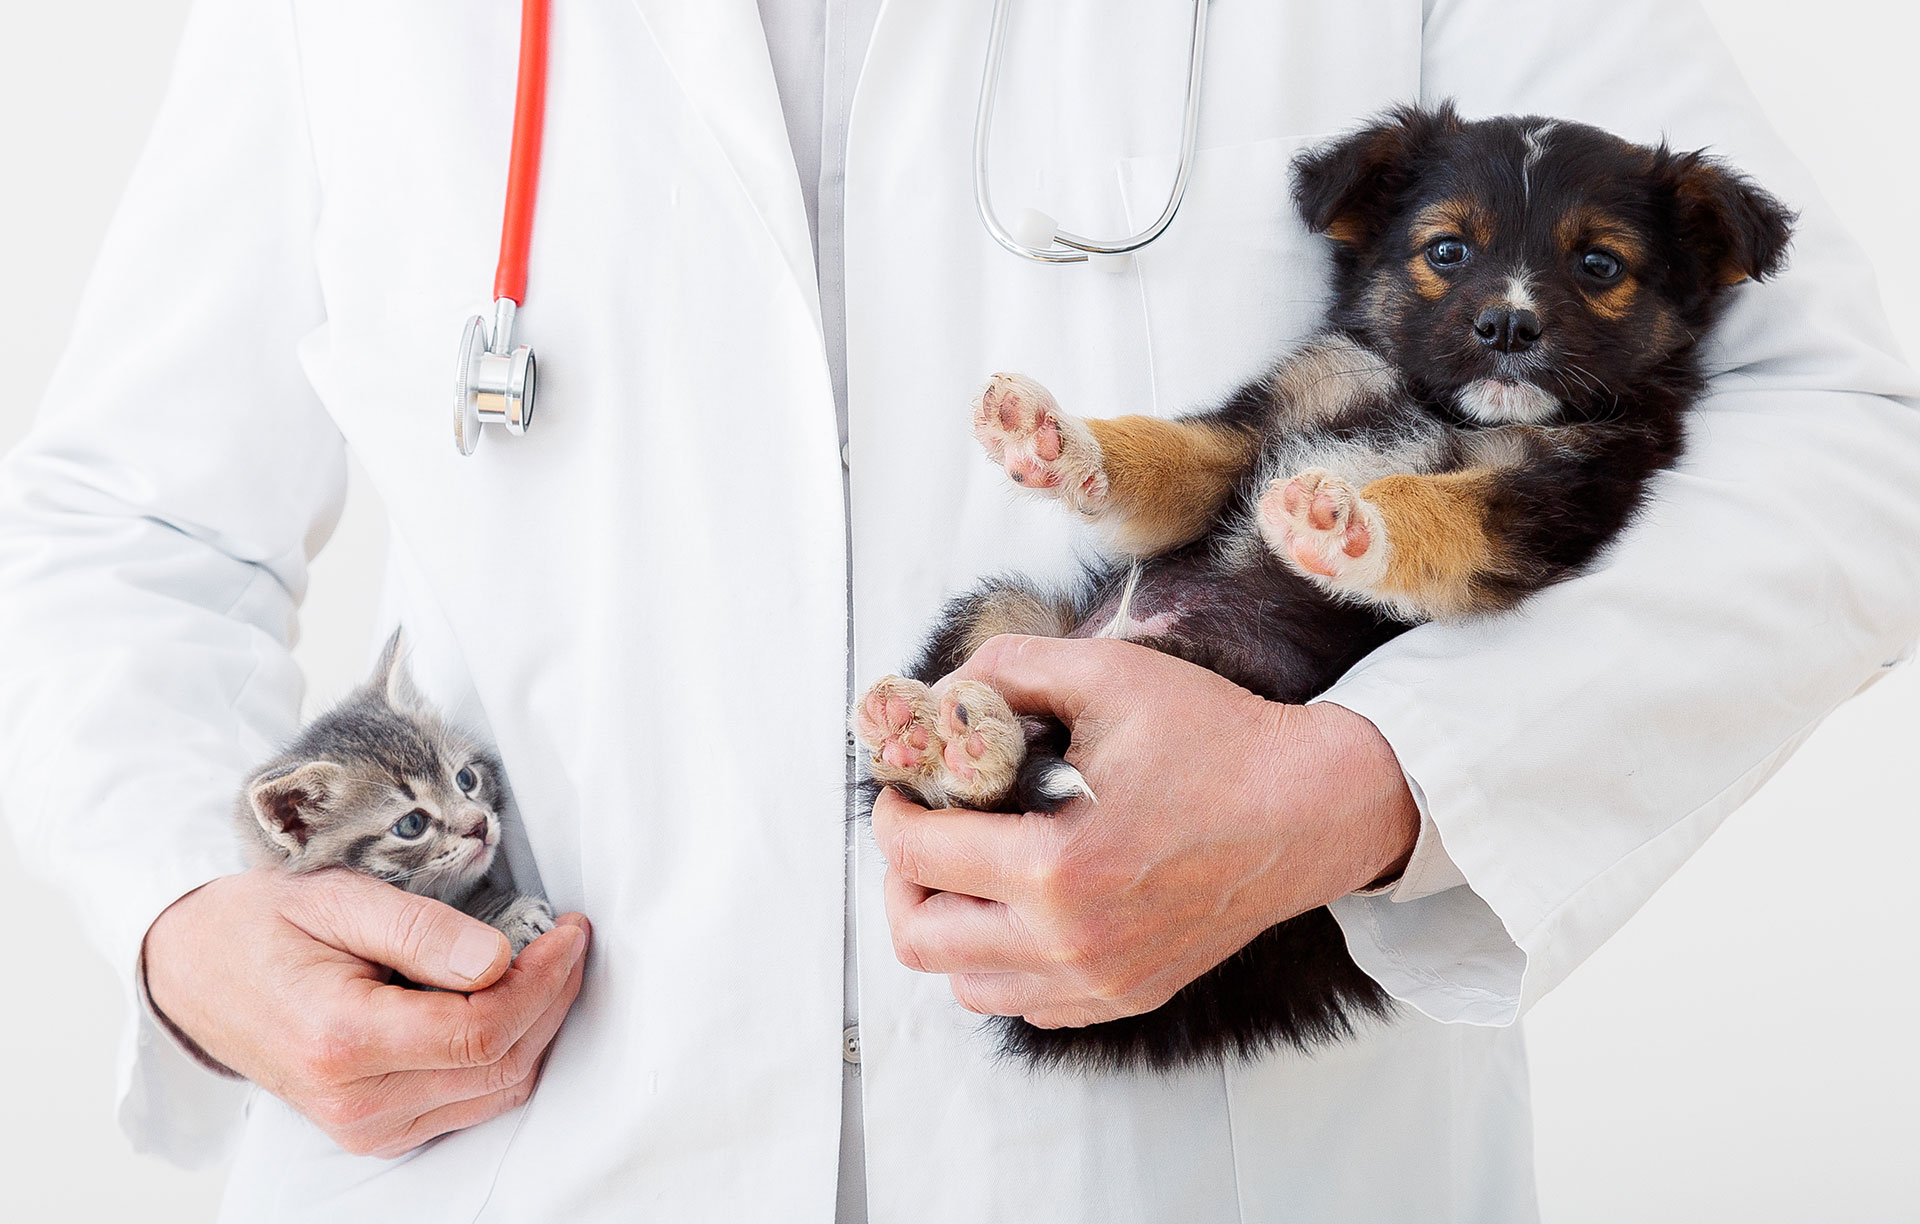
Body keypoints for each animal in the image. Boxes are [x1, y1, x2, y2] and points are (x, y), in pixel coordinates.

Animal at [848, 107, 1789, 1074]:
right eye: (1447, 250)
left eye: (1599, 264)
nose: (1508, 324)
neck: (1432, 401)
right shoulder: (1257, 433)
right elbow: (1168, 456)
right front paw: (1058, 439)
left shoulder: (1550, 502)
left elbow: (1440, 511)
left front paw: (1349, 522)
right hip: (1007, 614)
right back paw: (928, 734)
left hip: (1233, 666)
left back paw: (963, 743)